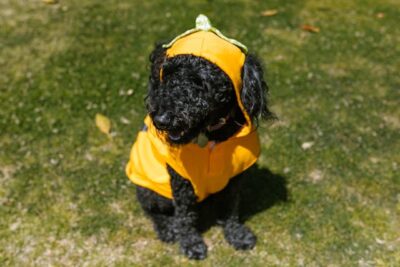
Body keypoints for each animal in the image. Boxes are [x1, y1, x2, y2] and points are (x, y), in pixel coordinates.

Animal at [128, 19, 276, 262]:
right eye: (167, 75)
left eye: (200, 83)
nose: (160, 119)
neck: (209, 137)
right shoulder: (181, 182)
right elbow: (185, 216)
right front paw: (190, 243)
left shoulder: (234, 178)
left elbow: (231, 208)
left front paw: (236, 234)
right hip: (151, 190)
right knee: (152, 210)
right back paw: (167, 228)